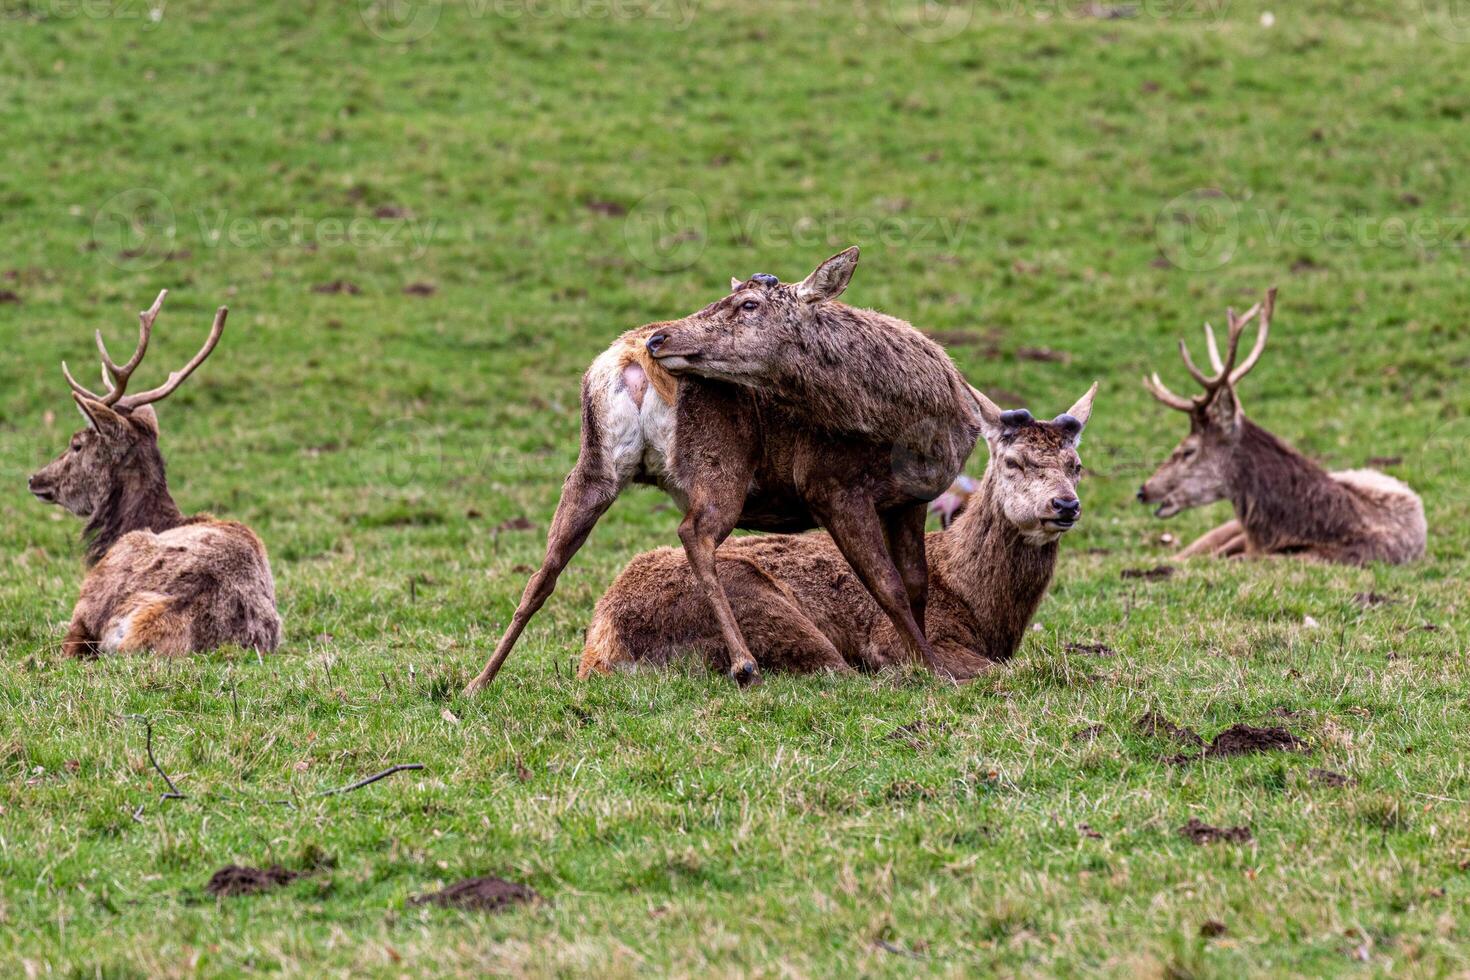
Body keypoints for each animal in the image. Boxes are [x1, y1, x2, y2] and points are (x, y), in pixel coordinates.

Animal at [464, 249, 981, 693]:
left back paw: (478, 682)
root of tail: (627, 357)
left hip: (595, 464)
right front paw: (936, 670)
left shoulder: (912, 500)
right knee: (694, 532)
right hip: (719, 463)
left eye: (749, 303)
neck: (915, 426)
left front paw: (919, 661)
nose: (659, 339)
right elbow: (889, 586)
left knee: (544, 570)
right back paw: (745, 664)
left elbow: (916, 584)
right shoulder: (832, 486)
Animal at [579, 384, 1099, 681]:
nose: (1065, 505)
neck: (984, 608)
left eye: (1076, 465)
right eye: (1014, 461)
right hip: (760, 603)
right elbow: (1009, 670)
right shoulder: (901, 638)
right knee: (833, 671)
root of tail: (601, 644)